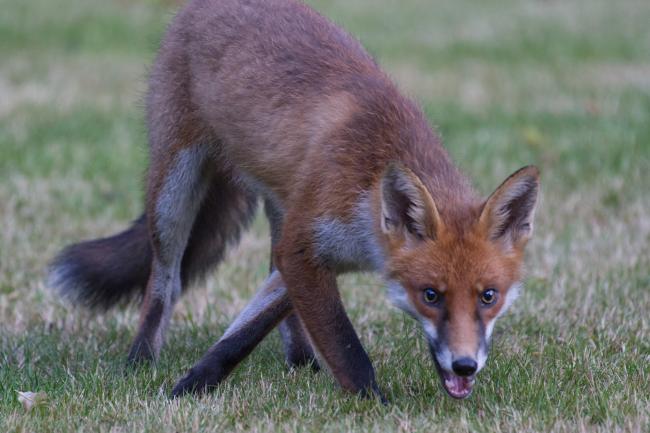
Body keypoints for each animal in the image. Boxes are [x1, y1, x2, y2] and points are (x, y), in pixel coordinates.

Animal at [48, 0, 540, 402]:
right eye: (431, 295)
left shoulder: (303, 250)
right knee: (163, 282)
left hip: (279, 207)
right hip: (174, 189)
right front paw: (376, 405)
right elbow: (346, 346)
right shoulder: (305, 247)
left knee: (269, 281)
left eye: (489, 296)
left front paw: (190, 386)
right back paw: (141, 359)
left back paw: (301, 361)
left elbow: (244, 332)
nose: (465, 365)